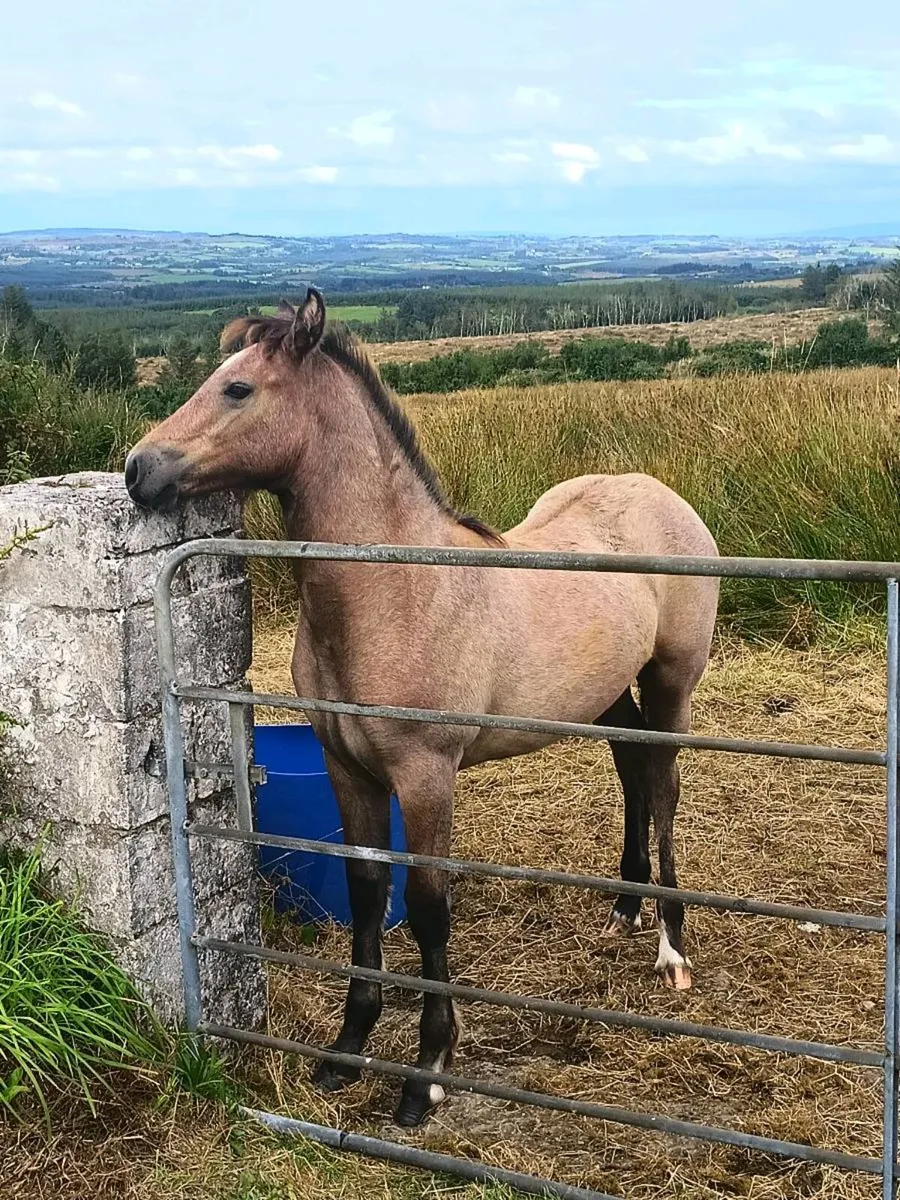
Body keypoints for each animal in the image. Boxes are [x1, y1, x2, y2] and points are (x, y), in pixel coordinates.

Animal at [125, 288, 719, 1127]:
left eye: (237, 388)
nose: (138, 470)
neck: (396, 588)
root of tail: (657, 492)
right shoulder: (350, 772)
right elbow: (368, 894)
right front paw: (346, 1051)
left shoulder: (426, 775)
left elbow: (429, 908)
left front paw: (427, 1075)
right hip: (603, 696)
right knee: (632, 773)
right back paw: (623, 909)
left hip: (671, 684)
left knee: (663, 787)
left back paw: (671, 947)